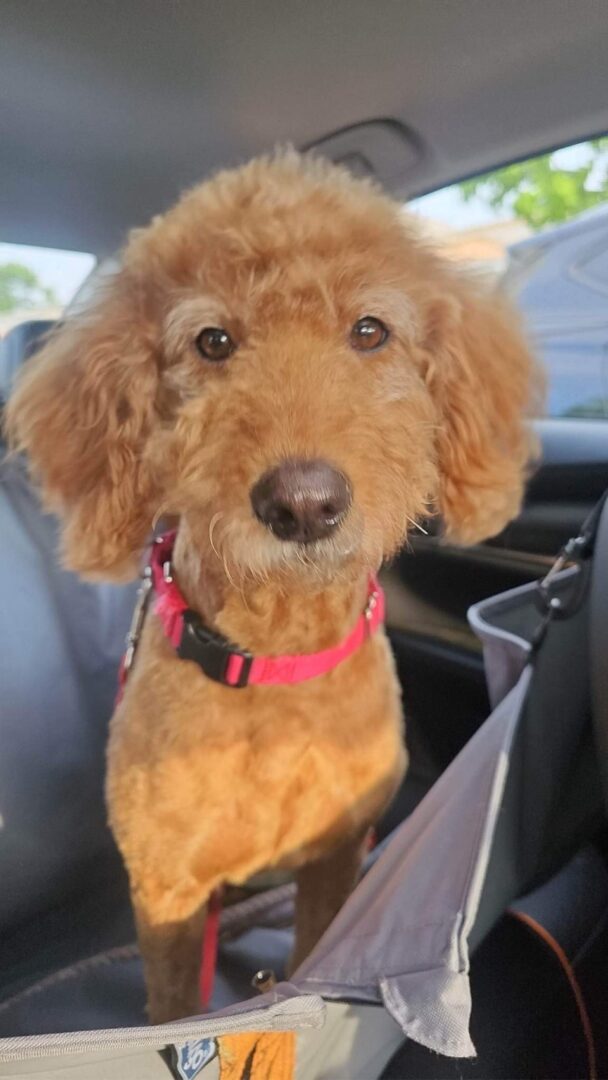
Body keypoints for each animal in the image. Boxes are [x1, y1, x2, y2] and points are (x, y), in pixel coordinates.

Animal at [4, 150, 537, 1019]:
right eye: (213, 341)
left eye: (370, 331)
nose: (304, 503)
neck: (278, 659)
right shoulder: (168, 892)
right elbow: (176, 1004)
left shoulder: (335, 856)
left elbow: (315, 951)